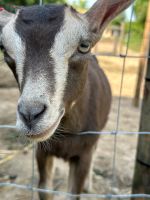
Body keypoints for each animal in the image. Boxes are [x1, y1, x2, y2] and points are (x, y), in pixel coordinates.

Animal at [0, 0, 134, 199]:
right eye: (5, 51)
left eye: (84, 45)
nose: (30, 115)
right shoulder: (42, 152)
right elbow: (44, 188)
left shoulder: (83, 153)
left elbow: (73, 193)